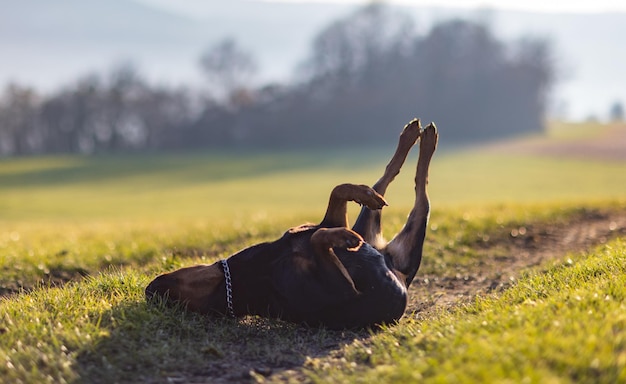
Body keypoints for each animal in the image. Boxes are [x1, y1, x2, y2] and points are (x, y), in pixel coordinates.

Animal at [146, 118, 438, 328]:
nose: (149, 290)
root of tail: (399, 269)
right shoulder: (345, 292)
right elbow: (320, 237)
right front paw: (344, 238)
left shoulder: (329, 221)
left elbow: (336, 191)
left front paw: (360, 194)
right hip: (409, 234)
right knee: (422, 194)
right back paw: (424, 140)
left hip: (369, 221)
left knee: (391, 180)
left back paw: (414, 138)